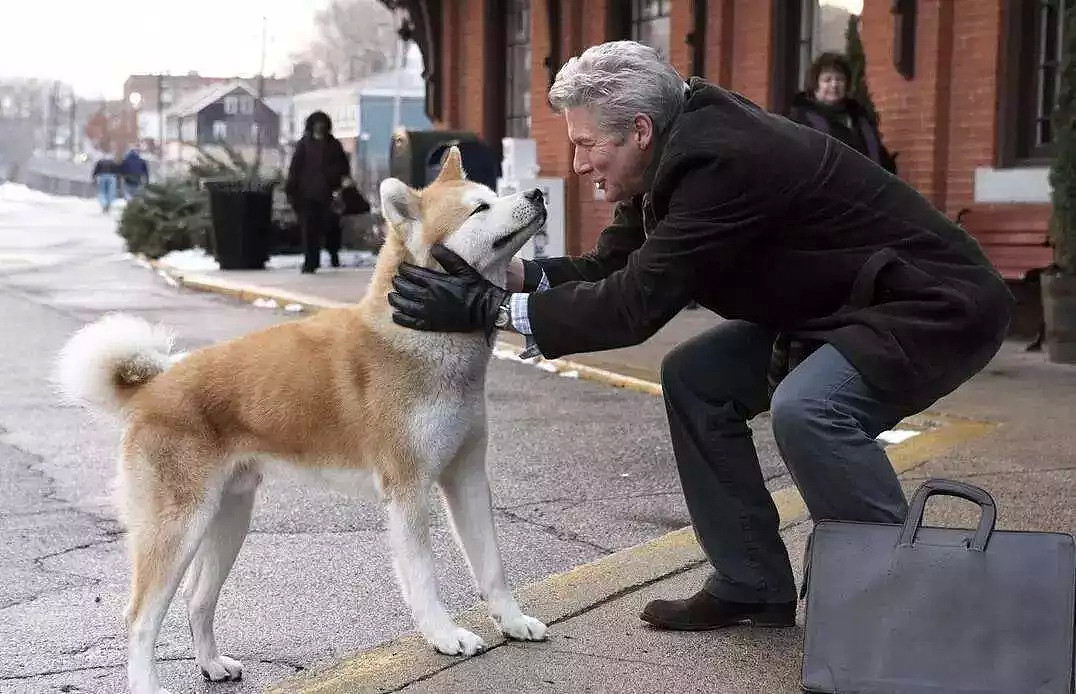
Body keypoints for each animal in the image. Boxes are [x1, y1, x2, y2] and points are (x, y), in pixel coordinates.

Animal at [54, 148, 550, 692]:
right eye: (480, 208)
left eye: (494, 195)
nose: (537, 193)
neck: (422, 336)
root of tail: (154, 387)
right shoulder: (409, 490)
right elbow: (424, 576)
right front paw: (444, 635)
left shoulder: (466, 477)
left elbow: (493, 567)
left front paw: (513, 621)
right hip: (177, 528)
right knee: (141, 618)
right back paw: (148, 681)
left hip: (228, 519)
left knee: (197, 599)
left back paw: (211, 664)